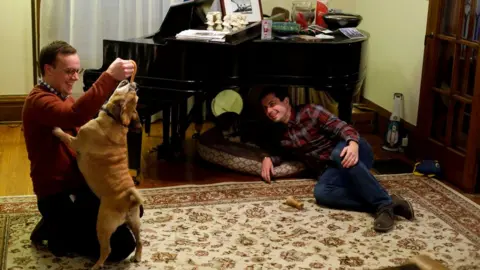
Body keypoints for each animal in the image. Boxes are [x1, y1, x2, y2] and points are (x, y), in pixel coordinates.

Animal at [53, 79, 142, 268]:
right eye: (134, 93)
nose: (134, 83)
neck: (115, 120)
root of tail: (128, 200)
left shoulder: (76, 142)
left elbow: (65, 137)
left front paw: (57, 130)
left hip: (103, 225)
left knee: (106, 250)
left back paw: (96, 265)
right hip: (136, 222)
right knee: (140, 241)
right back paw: (137, 256)